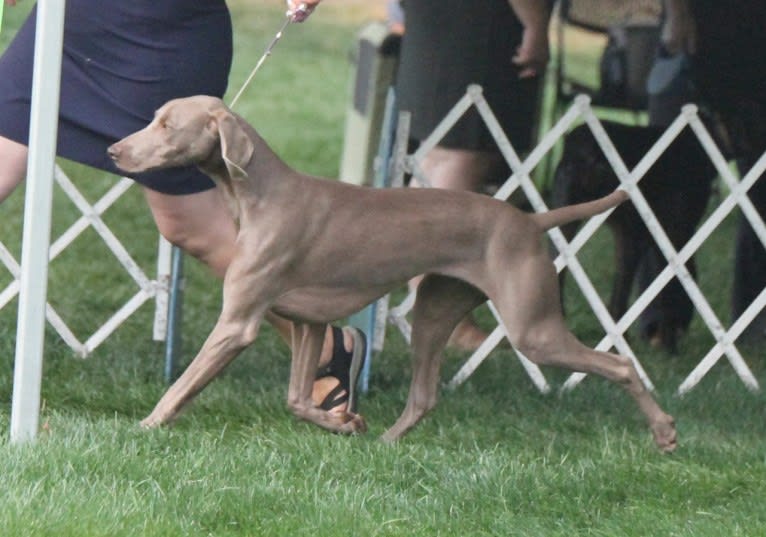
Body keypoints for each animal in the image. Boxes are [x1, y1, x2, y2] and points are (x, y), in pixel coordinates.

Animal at [106, 94, 680, 450]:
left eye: (166, 125)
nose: (112, 150)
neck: (259, 196)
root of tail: (529, 219)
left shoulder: (237, 324)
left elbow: (183, 385)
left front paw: (146, 426)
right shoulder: (309, 320)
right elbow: (296, 399)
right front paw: (344, 423)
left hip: (532, 330)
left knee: (620, 364)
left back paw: (665, 433)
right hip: (433, 313)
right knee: (424, 395)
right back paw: (384, 444)